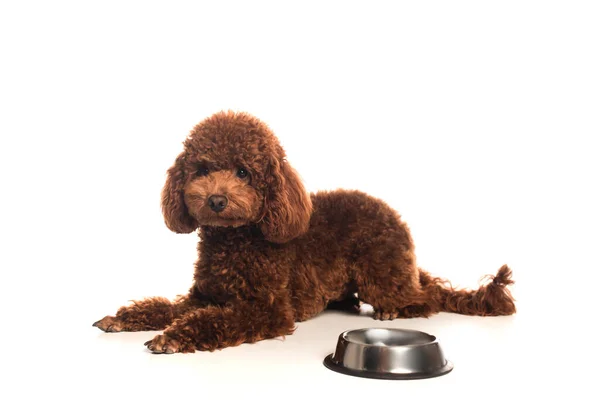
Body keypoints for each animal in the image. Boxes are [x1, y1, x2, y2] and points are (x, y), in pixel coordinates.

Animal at [94, 109, 516, 354]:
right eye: (202, 170)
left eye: (244, 172)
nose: (215, 200)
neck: (235, 241)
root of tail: (396, 218)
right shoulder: (204, 295)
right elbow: (166, 307)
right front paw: (124, 318)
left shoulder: (268, 309)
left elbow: (217, 319)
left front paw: (173, 336)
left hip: (380, 273)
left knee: (427, 298)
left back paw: (395, 309)